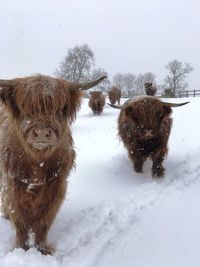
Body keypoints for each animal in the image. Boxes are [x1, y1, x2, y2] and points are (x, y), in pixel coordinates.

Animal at [0, 74, 107, 254]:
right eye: (25, 107)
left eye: (59, 108)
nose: (42, 133)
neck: (38, 164)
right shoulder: (14, 184)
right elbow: (20, 222)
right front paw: (21, 248)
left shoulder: (56, 185)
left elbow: (44, 222)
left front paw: (42, 249)